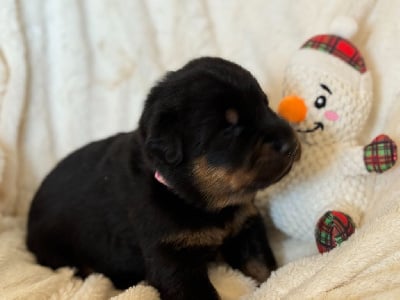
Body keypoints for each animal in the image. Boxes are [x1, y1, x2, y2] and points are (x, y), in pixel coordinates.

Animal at [26, 56, 298, 300]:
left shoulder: (245, 225)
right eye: (228, 129)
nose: (291, 142)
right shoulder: (171, 256)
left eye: (265, 104)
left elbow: (262, 267)